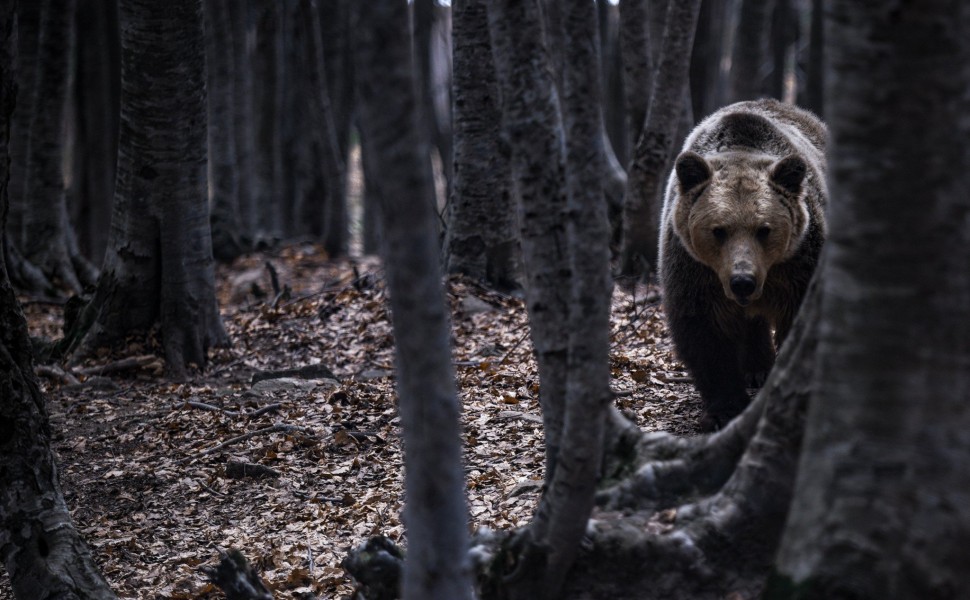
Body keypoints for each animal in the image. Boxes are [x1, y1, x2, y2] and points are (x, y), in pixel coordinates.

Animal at [656, 98, 824, 428]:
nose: (742, 281)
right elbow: (705, 332)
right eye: (718, 230)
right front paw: (725, 408)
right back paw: (756, 368)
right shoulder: (695, 271)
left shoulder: (798, 266)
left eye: (764, 229)